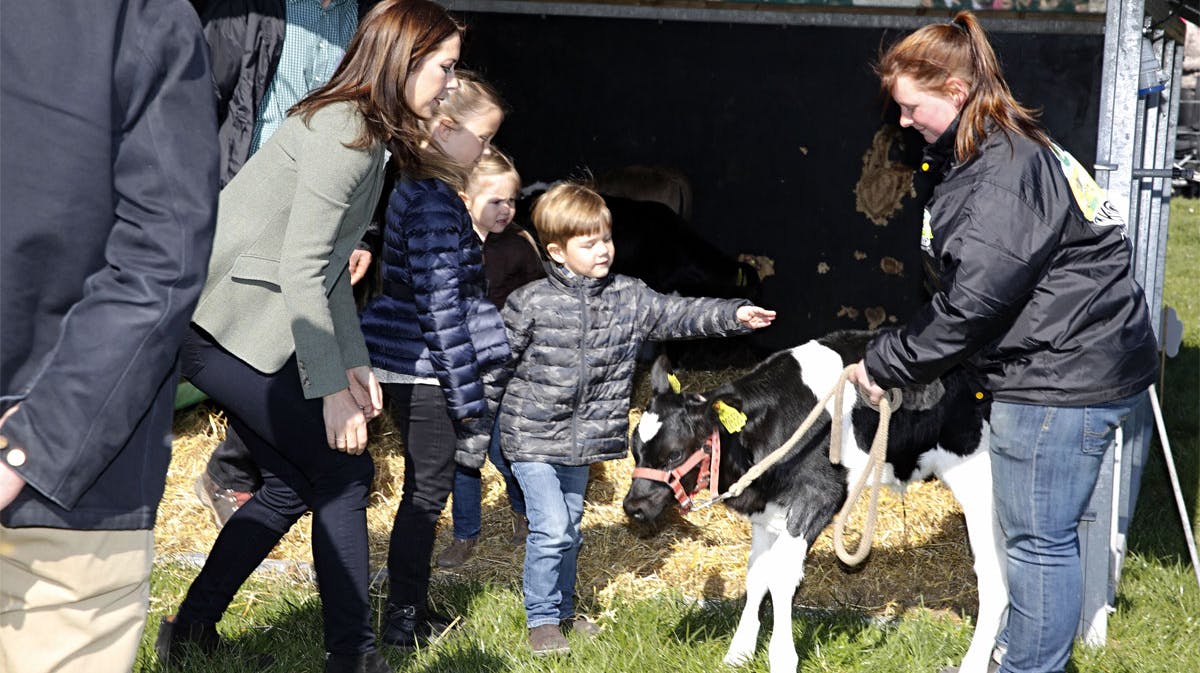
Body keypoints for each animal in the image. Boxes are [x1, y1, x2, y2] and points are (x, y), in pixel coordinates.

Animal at [624, 328, 1008, 671]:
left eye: (674, 454)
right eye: (635, 448)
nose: (634, 507)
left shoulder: (818, 496)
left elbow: (780, 577)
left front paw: (781, 658)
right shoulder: (768, 509)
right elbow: (756, 573)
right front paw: (739, 652)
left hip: (980, 483)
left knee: (994, 577)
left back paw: (974, 663)